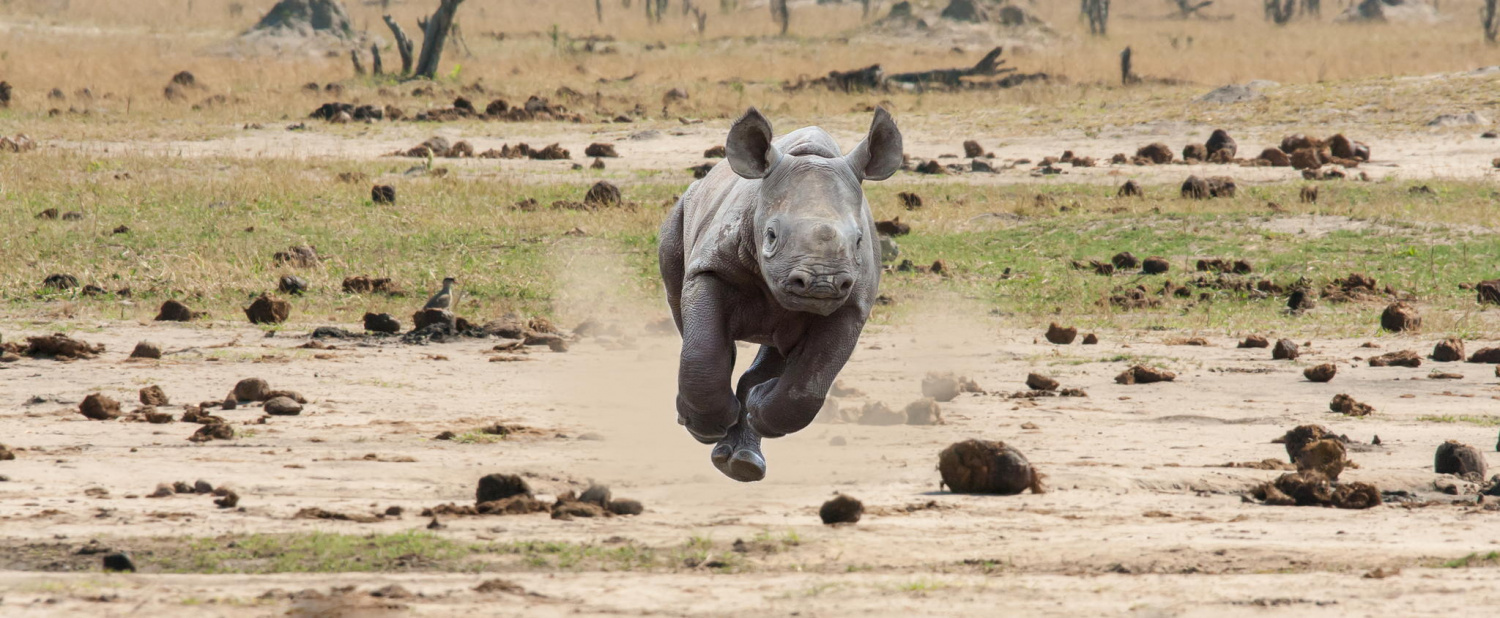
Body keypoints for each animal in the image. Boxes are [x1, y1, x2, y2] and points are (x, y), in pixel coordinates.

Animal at [657, 106, 900, 483]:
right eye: (770, 235)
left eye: (859, 240)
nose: (822, 283)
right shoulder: (709, 268)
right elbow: (702, 344)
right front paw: (705, 426)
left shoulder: (852, 305)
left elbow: (810, 381)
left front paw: (758, 409)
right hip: (683, 208)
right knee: (684, 309)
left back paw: (744, 462)